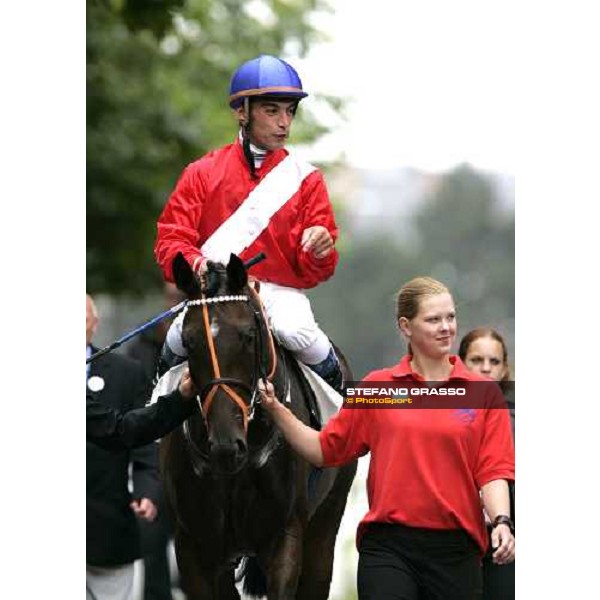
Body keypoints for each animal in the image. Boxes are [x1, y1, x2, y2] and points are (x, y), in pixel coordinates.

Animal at [158, 253, 356, 600]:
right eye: (189, 341)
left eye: (248, 336)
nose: (226, 446)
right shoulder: (194, 547)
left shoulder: (285, 538)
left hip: (326, 525)